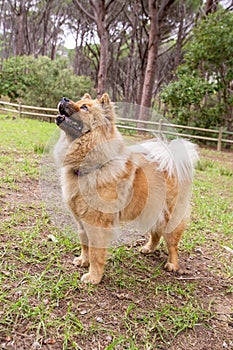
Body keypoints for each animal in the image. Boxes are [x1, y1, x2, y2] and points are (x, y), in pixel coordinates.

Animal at [54, 93, 198, 284]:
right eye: (77, 102)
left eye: (84, 107)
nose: (64, 99)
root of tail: (172, 162)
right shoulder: (81, 221)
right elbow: (85, 245)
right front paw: (83, 261)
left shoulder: (96, 224)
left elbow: (95, 253)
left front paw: (93, 277)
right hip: (153, 211)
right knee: (156, 234)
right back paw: (148, 248)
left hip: (170, 218)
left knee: (172, 244)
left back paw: (172, 265)